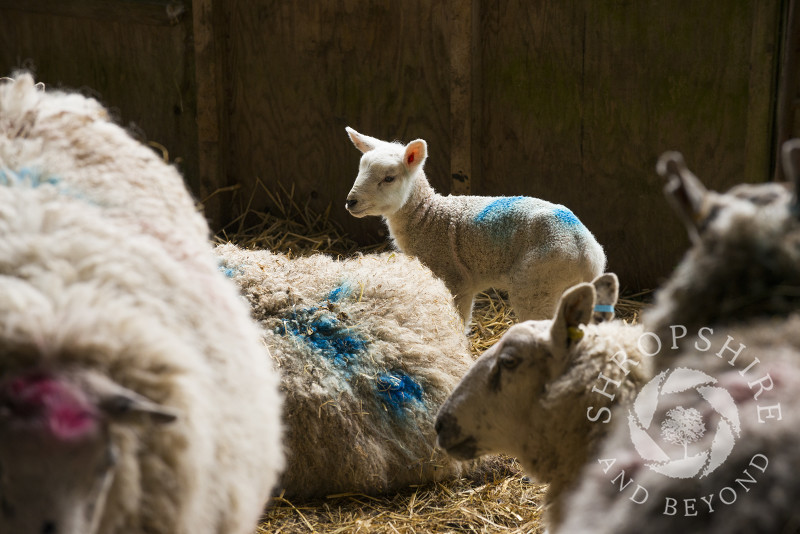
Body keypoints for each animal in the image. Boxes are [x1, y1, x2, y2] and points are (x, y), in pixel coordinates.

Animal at [344, 127, 608, 326]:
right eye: (359, 169)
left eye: (389, 178)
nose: (350, 202)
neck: (428, 217)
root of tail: (586, 250)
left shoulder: (456, 280)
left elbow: (459, 321)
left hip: (537, 284)